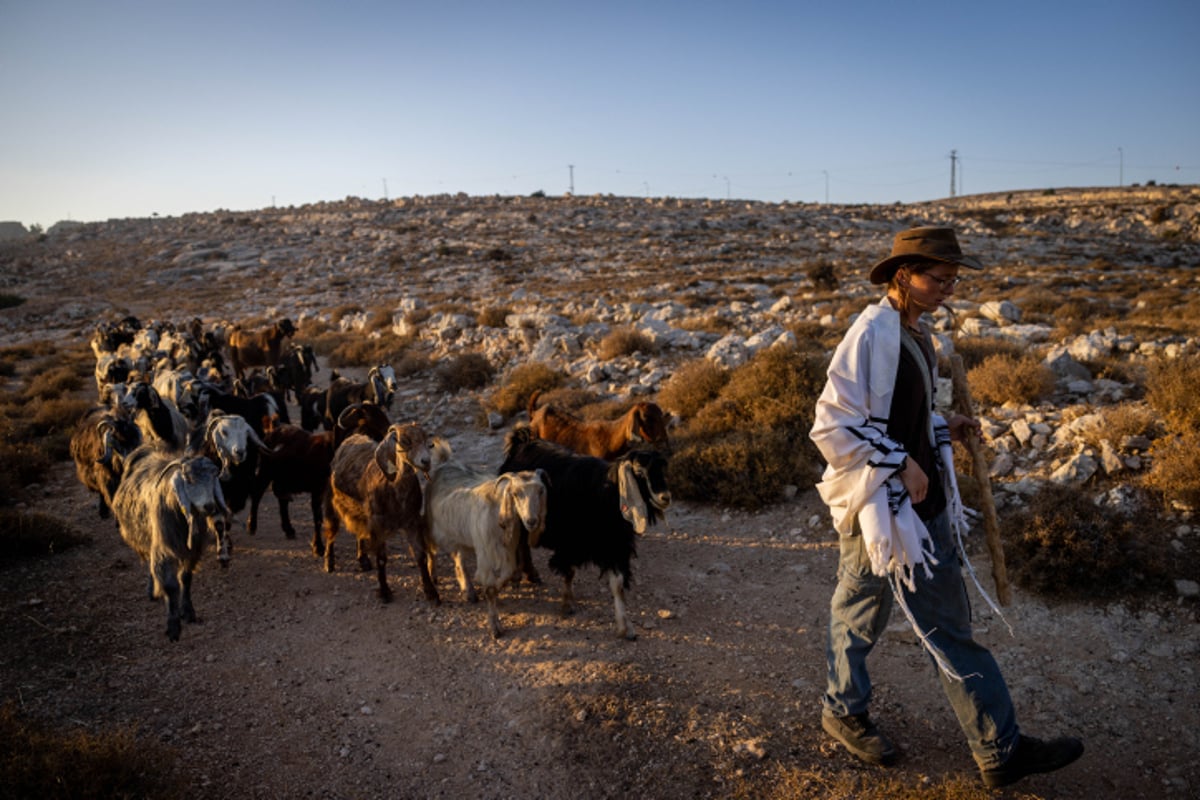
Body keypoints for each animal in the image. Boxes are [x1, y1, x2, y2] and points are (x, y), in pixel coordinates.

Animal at [319, 424, 436, 599]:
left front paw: (431, 593)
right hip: (332, 501)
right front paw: (385, 591)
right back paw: (329, 563)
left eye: (426, 440)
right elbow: (381, 558)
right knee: (331, 531)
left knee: (360, 532)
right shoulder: (378, 523)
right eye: (404, 441)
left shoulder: (412, 521)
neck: (394, 488)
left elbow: (420, 555)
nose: (426, 461)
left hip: (361, 513)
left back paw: (363, 560)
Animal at [427, 438, 549, 638]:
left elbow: (506, 575)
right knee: (429, 551)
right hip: (431, 527)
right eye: (515, 493)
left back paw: (468, 590)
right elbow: (490, 587)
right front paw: (495, 627)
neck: (498, 510)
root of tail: (445, 462)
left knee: (459, 559)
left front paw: (494, 588)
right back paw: (432, 576)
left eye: (540, 491)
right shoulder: (485, 550)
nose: (531, 521)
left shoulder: (507, 550)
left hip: (461, 536)